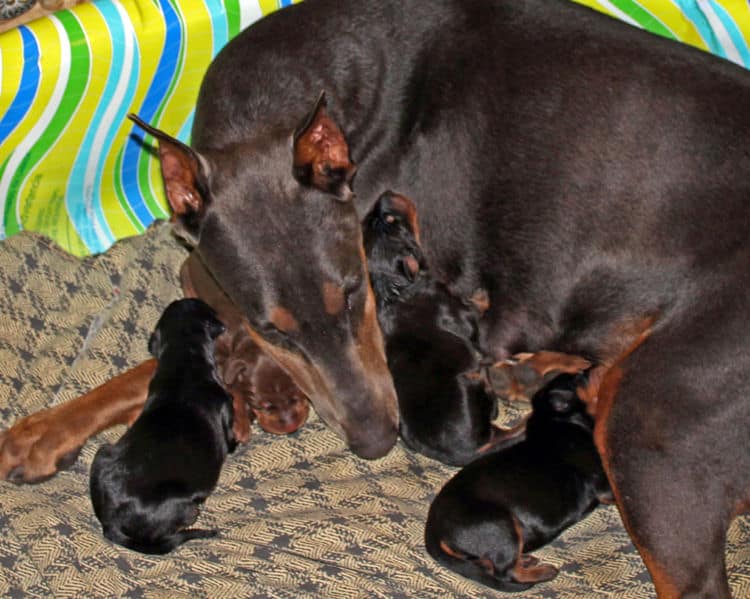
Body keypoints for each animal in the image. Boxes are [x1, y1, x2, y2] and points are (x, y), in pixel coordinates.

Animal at [424, 372, 612, 592]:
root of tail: (433, 529)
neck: (558, 421)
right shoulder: (604, 487)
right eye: (581, 378)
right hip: (502, 525)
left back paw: (526, 561)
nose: (596, 368)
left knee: (490, 565)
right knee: (506, 572)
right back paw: (544, 572)